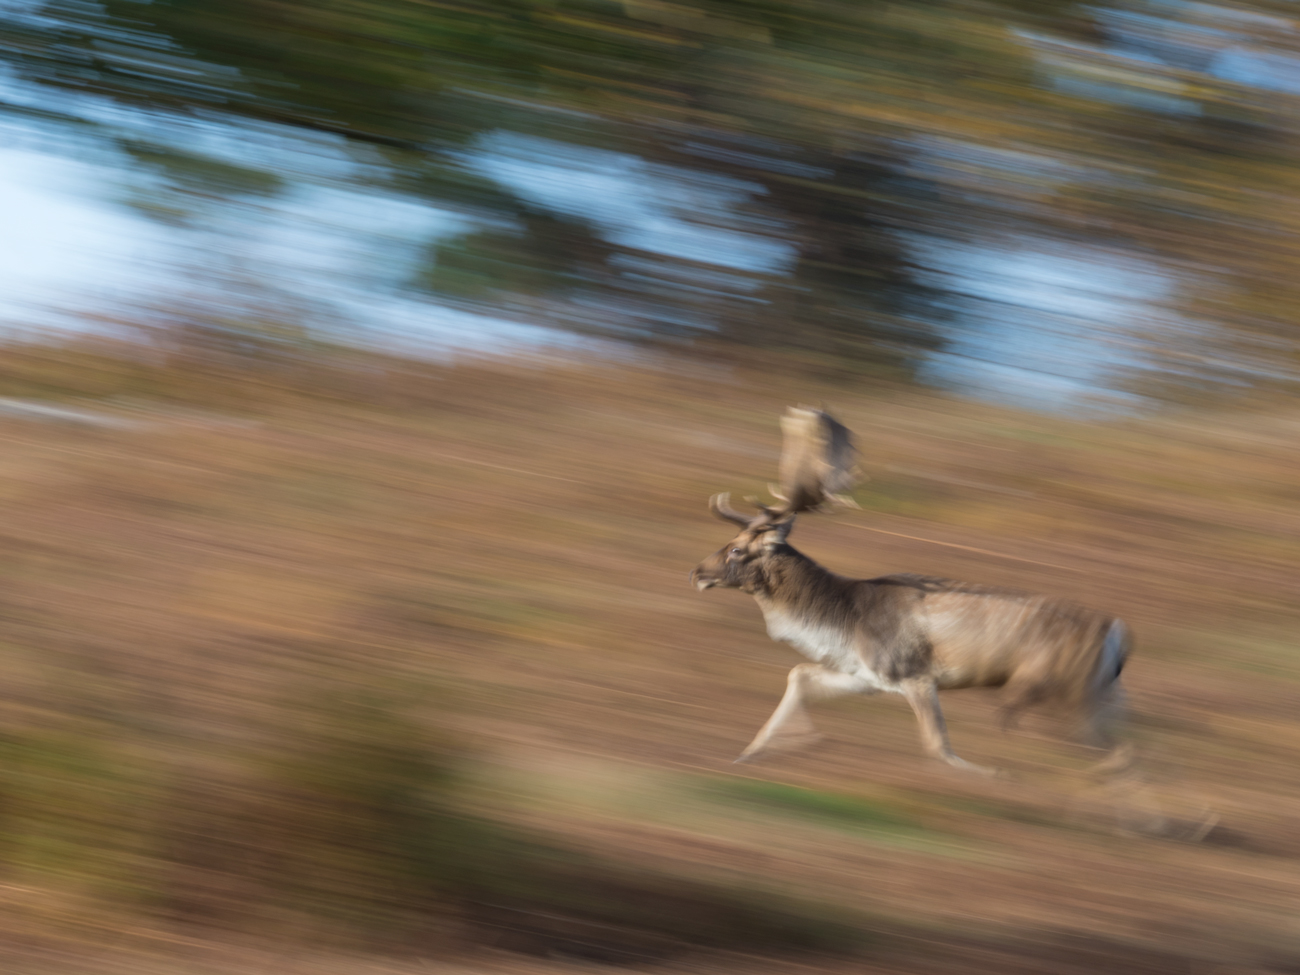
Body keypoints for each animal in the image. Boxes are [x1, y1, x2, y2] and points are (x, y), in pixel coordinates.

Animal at [689, 407, 1132, 777]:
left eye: (736, 548)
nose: (696, 572)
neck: (840, 622)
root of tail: (1117, 634)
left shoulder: (912, 672)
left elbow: (938, 746)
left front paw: (995, 775)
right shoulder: (866, 675)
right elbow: (798, 674)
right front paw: (757, 752)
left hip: (1069, 691)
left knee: (1114, 752)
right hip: (1101, 694)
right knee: (1122, 750)